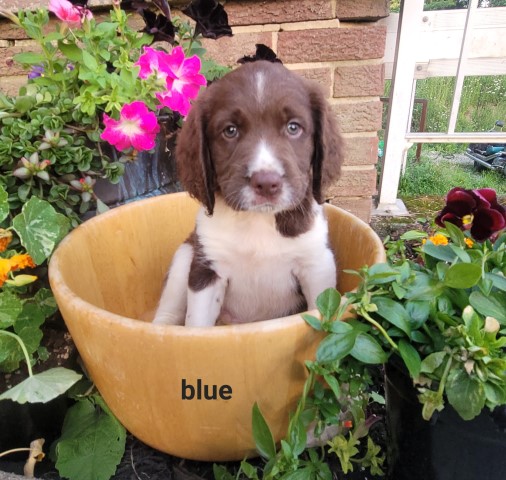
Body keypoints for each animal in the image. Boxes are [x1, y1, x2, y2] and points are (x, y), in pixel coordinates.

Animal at [153, 60, 344, 326]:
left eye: (293, 127)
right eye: (230, 131)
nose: (266, 183)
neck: (258, 220)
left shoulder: (317, 264)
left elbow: (321, 314)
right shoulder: (206, 269)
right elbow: (196, 325)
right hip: (185, 256)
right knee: (166, 317)